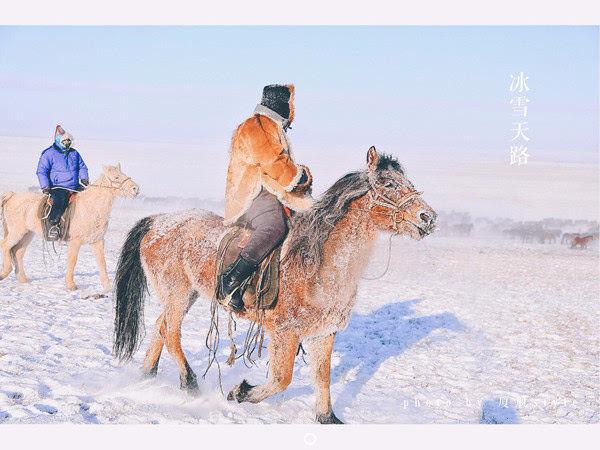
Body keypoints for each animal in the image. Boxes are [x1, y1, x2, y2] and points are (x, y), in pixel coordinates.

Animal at [0, 163, 138, 290]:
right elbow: (72, 260)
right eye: (116, 177)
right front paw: (71, 285)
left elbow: (102, 262)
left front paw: (107, 287)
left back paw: (23, 279)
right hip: (16, 231)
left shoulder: (97, 241)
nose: (135, 188)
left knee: (18, 252)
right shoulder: (75, 241)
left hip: (27, 234)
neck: (91, 206)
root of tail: (12, 196)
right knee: (5, 245)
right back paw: (5, 272)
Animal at [115, 148, 438, 422]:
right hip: (178, 292)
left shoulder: (324, 333)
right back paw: (189, 382)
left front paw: (327, 417)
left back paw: (147, 376)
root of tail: (157, 221)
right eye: (389, 184)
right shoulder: (284, 332)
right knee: (171, 332)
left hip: (185, 294)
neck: (319, 265)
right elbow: (282, 379)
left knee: (161, 327)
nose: (429, 217)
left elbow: (322, 377)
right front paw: (240, 392)